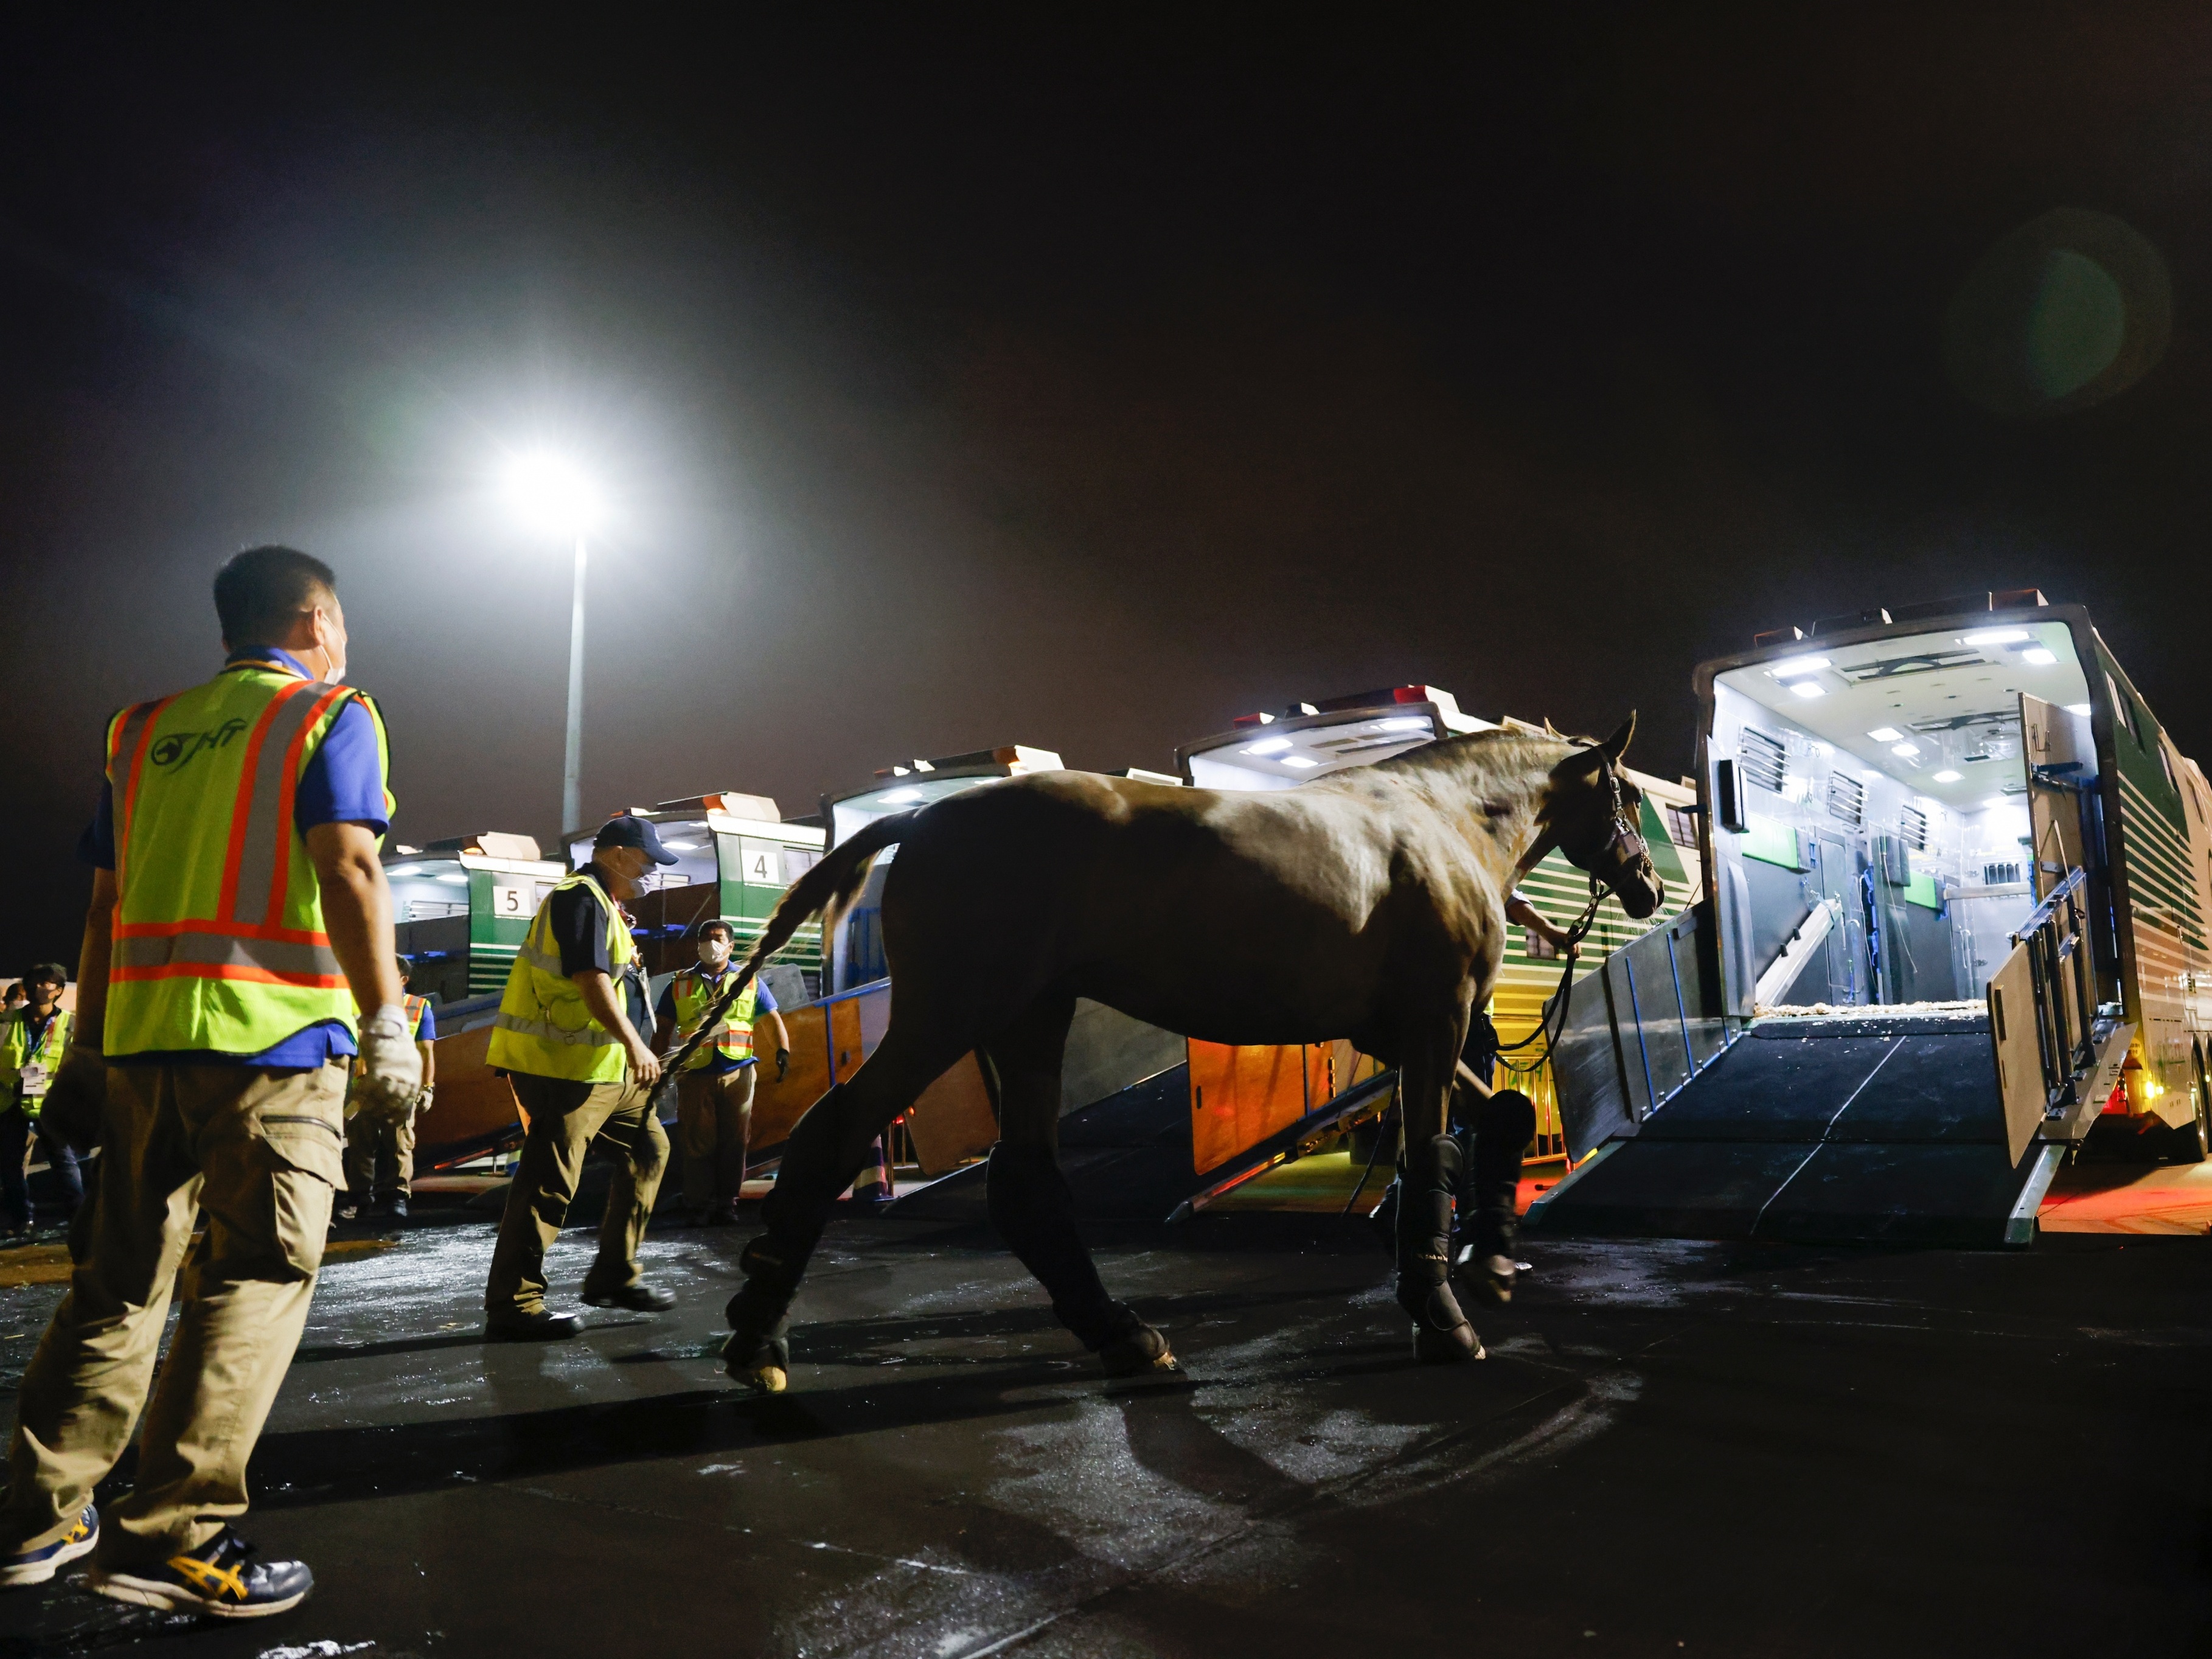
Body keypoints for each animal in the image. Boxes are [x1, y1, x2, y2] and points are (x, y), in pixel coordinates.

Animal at [712, 717, 1663, 1389]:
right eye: (1624, 793)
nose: (1649, 884)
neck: (1439, 819)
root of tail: (924, 816)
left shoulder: (1394, 1035)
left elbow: (1503, 1114)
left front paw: (1493, 1256)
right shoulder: (1436, 1021)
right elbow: (1433, 1152)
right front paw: (1441, 1314)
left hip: (1025, 1022)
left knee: (1023, 1181)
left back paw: (1123, 1335)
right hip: (950, 1015)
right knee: (838, 1133)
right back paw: (759, 1334)